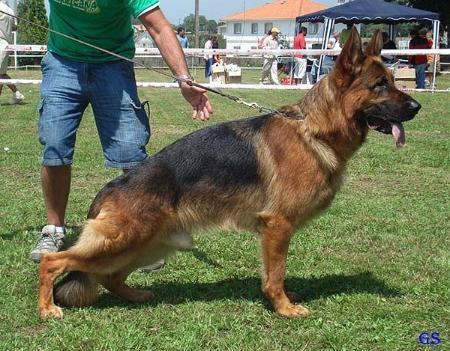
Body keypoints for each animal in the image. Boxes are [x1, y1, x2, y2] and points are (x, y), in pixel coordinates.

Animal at [37, 28, 420, 320]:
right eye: (380, 85)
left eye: (391, 81)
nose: (417, 106)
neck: (314, 130)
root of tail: (113, 186)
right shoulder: (277, 226)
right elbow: (275, 274)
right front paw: (284, 308)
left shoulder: (275, 231)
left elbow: (274, 274)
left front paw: (281, 300)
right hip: (123, 240)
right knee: (54, 262)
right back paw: (47, 308)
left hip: (147, 243)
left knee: (110, 277)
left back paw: (135, 296)